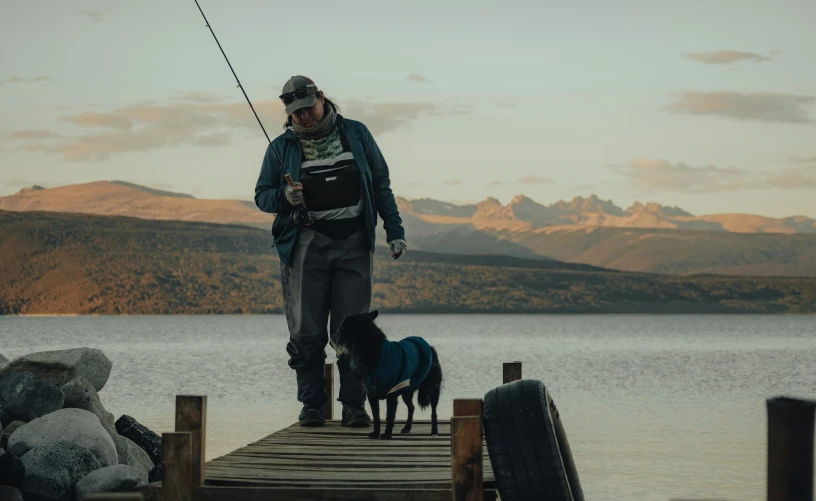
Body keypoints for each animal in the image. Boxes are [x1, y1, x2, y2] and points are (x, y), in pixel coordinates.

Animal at [332, 308, 444, 438]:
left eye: (342, 326)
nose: (334, 335)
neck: (375, 353)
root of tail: (431, 348)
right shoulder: (372, 394)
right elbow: (376, 417)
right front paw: (376, 434)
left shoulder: (392, 393)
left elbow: (389, 416)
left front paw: (387, 435)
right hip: (407, 391)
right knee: (411, 408)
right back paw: (407, 427)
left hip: (433, 389)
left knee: (433, 411)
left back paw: (434, 431)